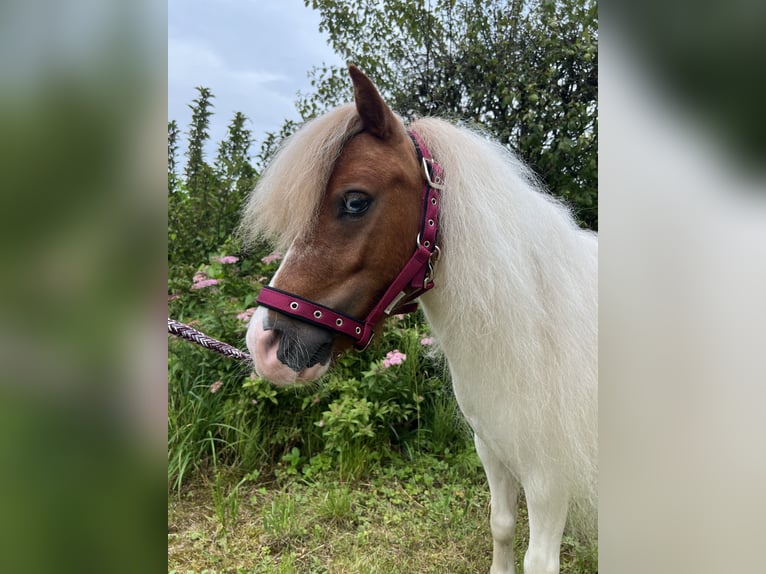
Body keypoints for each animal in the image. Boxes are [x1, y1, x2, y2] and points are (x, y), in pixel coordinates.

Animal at [242, 66, 600, 574]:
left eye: (355, 201)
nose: (263, 344)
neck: (536, 331)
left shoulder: (551, 476)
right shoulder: (492, 449)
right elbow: (502, 525)